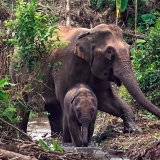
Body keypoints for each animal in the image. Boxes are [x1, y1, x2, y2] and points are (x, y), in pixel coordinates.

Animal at [10, 23, 160, 136]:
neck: (89, 32)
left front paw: (133, 129)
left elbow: (105, 99)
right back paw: (20, 135)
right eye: (109, 52)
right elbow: (65, 97)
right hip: (16, 74)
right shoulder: (65, 64)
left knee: (53, 108)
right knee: (21, 104)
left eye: (129, 50)